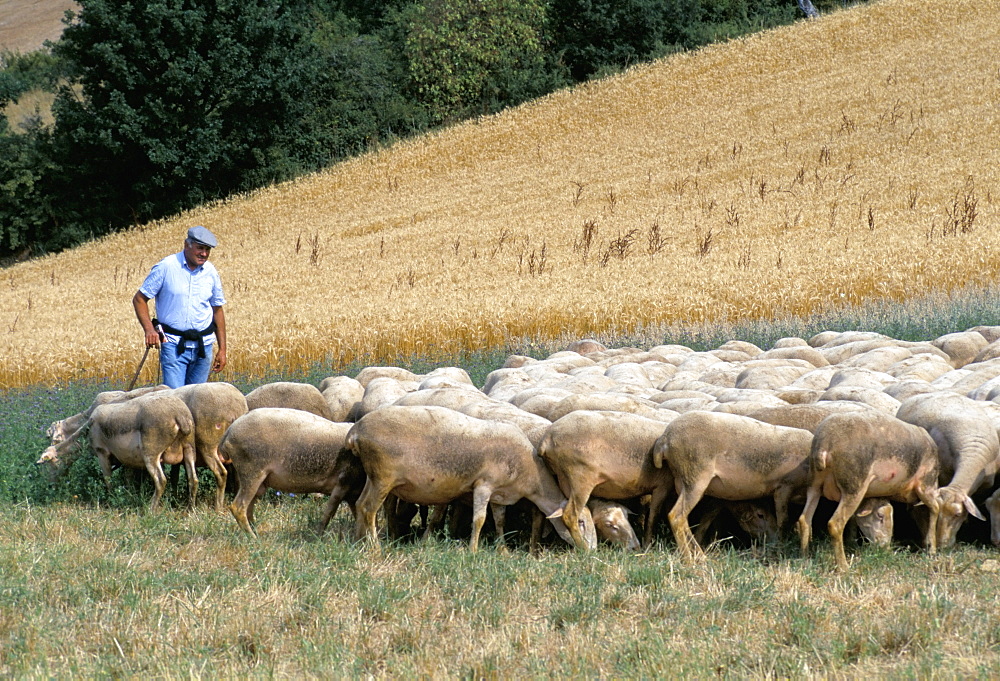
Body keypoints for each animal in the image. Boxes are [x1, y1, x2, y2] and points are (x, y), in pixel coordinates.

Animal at [350, 404, 592, 552]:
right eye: (581, 522)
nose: (588, 551)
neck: (529, 473)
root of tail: (355, 431)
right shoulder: (484, 485)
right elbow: (479, 519)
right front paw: (473, 550)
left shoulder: (499, 494)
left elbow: (500, 521)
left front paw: (503, 550)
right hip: (383, 477)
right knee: (369, 509)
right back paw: (375, 547)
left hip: (373, 476)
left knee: (360, 504)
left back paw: (358, 542)